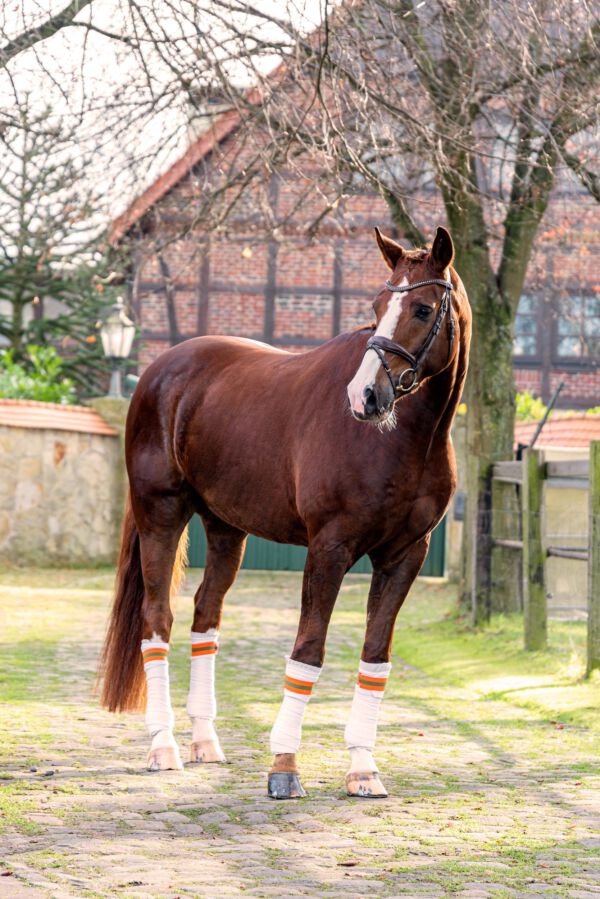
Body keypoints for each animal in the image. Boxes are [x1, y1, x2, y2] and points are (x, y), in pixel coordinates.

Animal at [100, 225, 471, 799]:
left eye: (424, 308)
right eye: (376, 304)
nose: (364, 396)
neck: (404, 438)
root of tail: (158, 372)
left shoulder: (405, 556)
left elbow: (375, 658)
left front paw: (363, 768)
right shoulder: (330, 549)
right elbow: (308, 652)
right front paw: (284, 765)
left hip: (226, 528)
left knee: (206, 616)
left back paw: (204, 741)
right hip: (160, 515)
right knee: (157, 621)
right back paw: (163, 747)